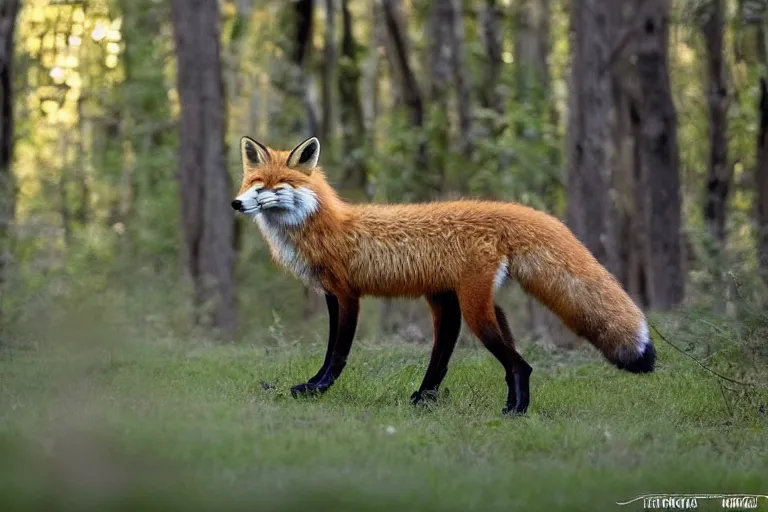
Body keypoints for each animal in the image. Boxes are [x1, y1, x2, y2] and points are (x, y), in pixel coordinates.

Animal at [232, 135, 656, 412]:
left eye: (271, 187)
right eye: (252, 184)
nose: (236, 203)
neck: (327, 226)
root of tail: (506, 209)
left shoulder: (346, 294)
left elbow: (337, 353)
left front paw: (317, 390)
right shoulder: (331, 295)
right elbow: (331, 351)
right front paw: (314, 387)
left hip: (473, 310)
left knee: (519, 364)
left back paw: (513, 412)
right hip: (457, 303)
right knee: (472, 358)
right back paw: (427, 399)